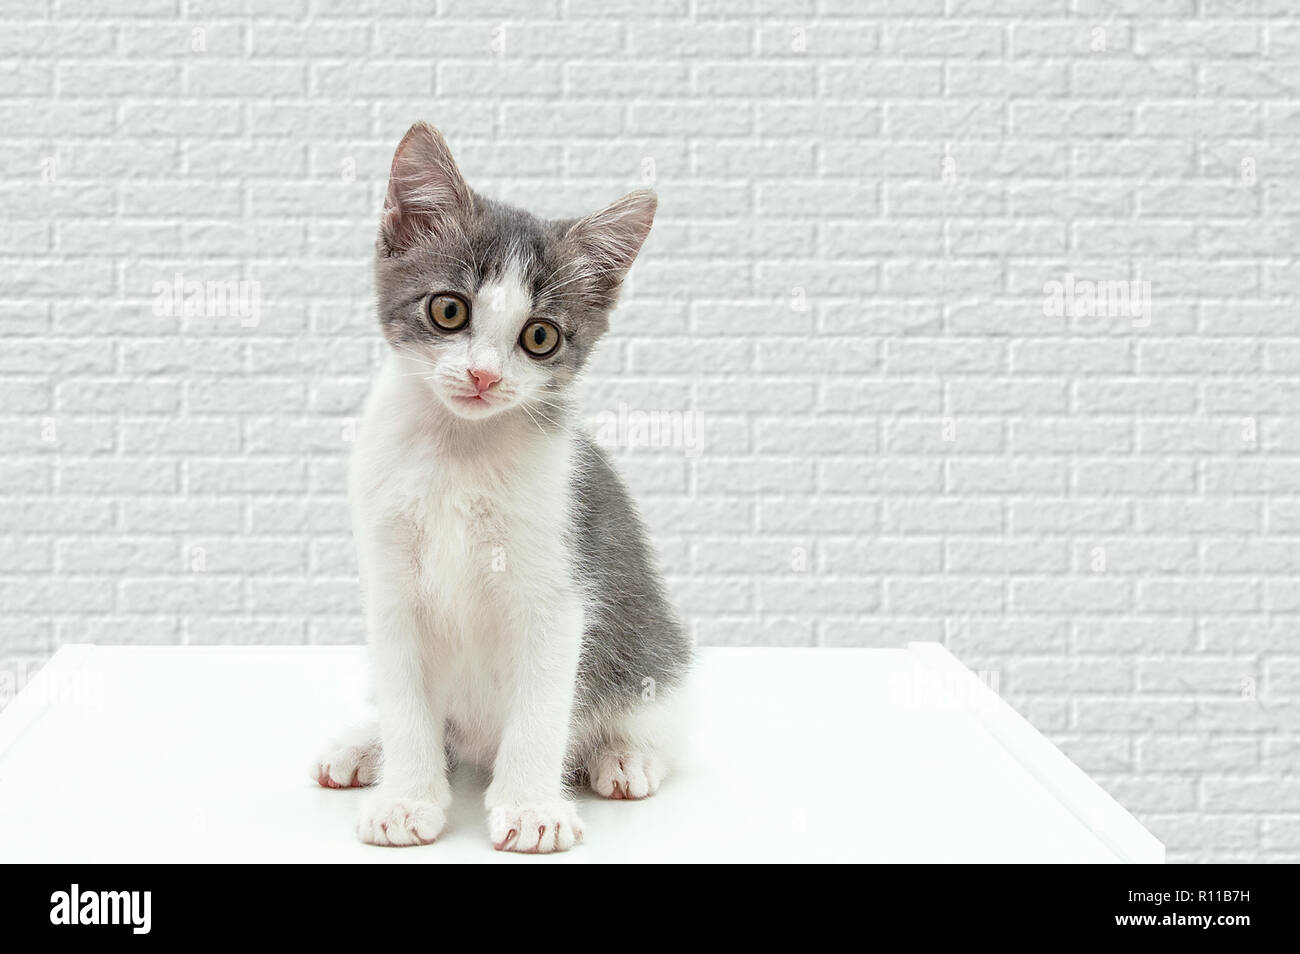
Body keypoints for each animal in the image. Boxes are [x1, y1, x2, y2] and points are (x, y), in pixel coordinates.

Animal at [313, 123, 691, 857]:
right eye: (448, 309)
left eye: (539, 335)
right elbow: (406, 697)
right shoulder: (390, 581)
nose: (484, 376)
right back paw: (368, 748)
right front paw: (407, 797)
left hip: (653, 645)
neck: (460, 450)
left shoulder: (560, 581)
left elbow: (543, 705)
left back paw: (622, 752)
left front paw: (531, 807)